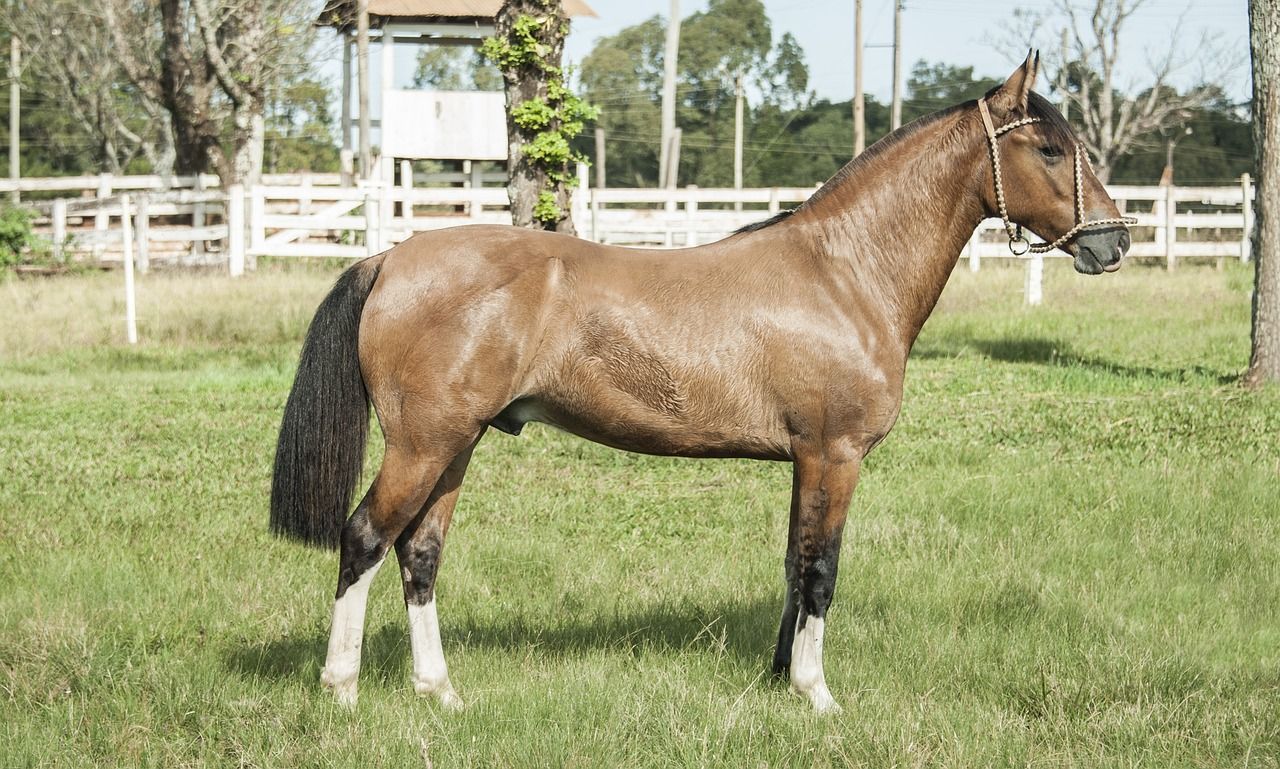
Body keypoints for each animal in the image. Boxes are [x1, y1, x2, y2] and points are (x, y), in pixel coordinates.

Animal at [270, 52, 1133, 714]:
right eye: (1048, 148)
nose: (1114, 241)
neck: (844, 272)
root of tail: (392, 256)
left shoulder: (806, 460)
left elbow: (794, 564)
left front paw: (781, 678)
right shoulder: (836, 455)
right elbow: (822, 570)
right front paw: (819, 695)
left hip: (455, 445)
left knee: (419, 553)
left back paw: (440, 691)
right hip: (422, 444)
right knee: (364, 536)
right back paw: (342, 688)